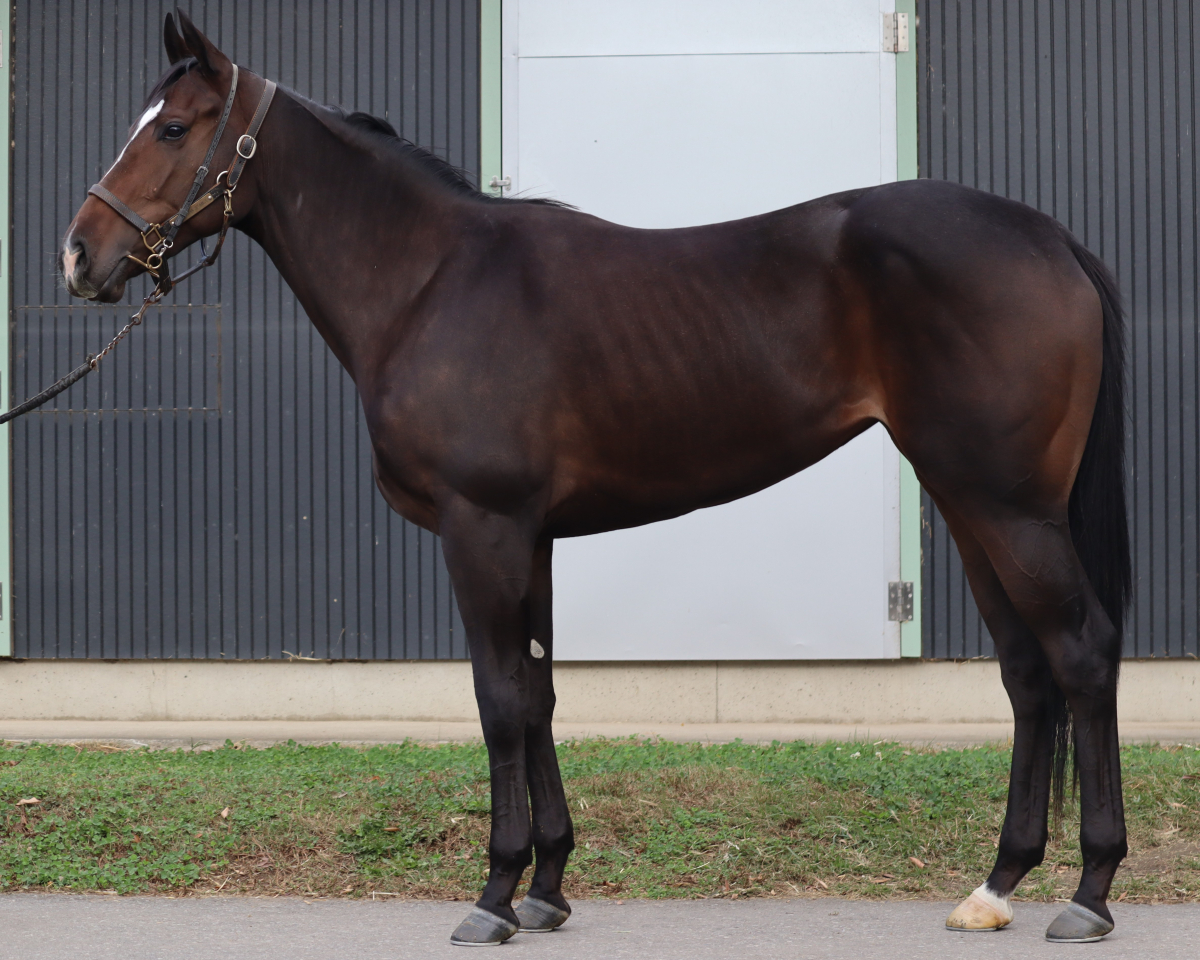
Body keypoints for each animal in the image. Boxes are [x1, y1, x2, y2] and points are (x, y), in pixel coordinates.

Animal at [60, 12, 1129, 946]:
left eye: (174, 126)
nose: (80, 256)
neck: (429, 283)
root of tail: (1049, 239)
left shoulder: (482, 528)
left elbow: (497, 699)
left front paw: (492, 896)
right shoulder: (528, 536)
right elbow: (537, 696)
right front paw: (547, 887)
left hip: (1008, 507)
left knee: (1080, 653)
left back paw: (1089, 893)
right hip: (970, 503)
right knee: (1027, 673)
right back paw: (996, 886)